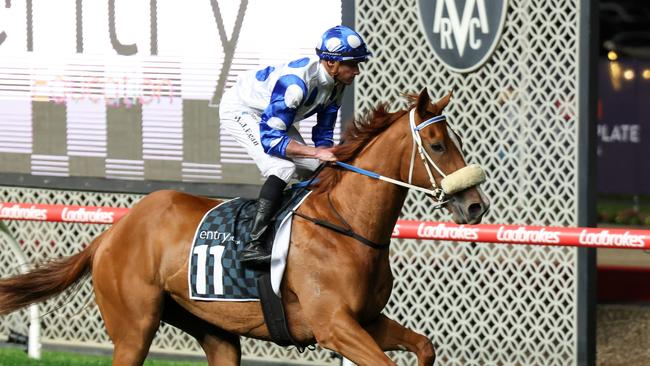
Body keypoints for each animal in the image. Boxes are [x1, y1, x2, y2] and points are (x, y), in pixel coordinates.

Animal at [0, 89, 486, 366]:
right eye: (437, 145)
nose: (476, 206)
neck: (344, 224)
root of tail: (111, 234)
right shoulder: (334, 326)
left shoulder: (366, 320)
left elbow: (425, 346)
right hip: (133, 328)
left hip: (212, 330)